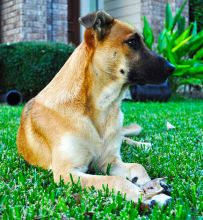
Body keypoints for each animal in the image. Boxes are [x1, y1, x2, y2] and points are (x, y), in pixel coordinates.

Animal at [16, 9, 174, 206]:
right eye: (132, 42)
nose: (172, 68)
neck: (100, 107)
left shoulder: (108, 161)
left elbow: (138, 166)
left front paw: (152, 189)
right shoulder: (67, 173)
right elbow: (115, 180)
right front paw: (143, 195)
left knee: (124, 139)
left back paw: (142, 144)